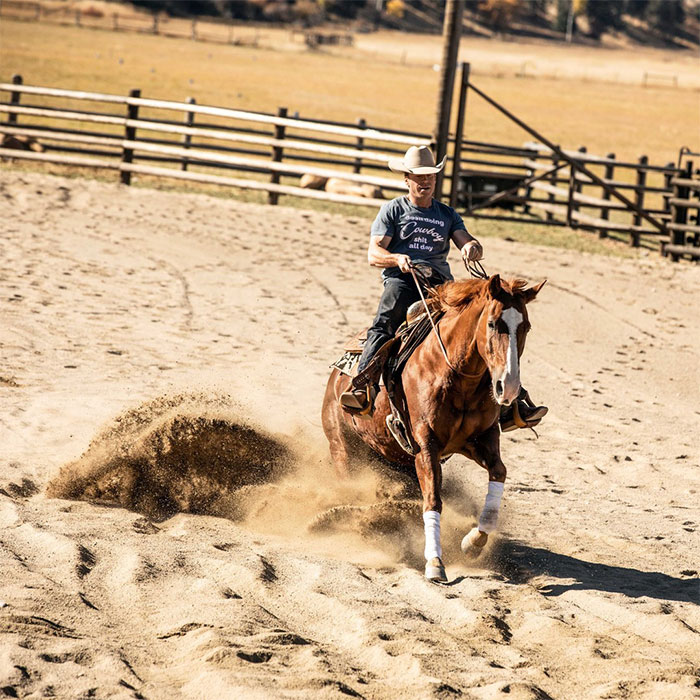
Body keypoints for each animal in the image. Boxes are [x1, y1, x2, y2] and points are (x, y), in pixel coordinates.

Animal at [321, 274, 545, 582]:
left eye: (526, 326)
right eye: (492, 323)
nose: (508, 387)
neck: (456, 376)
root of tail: (337, 377)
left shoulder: (479, 440)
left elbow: (499, 472)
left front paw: (474, 541)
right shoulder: (425, 446)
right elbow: (433, 501)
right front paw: (435, 562)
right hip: (342, 448)